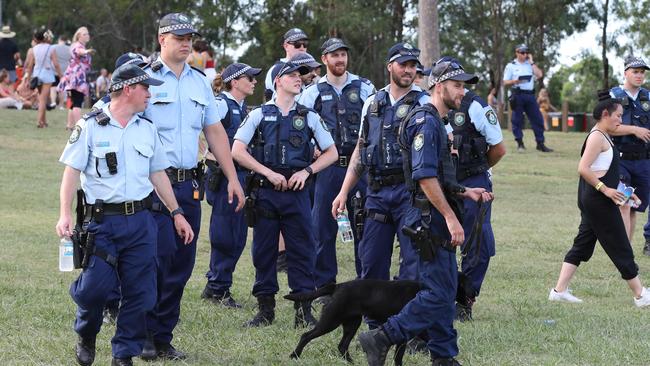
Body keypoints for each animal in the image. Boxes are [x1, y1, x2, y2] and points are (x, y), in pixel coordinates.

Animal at [284, 280, 420, 364]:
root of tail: (337, 286)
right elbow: (398, 357)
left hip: (352, 324)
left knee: (342, 346)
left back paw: (351, 362)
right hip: (330, 321)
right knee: (306, 336)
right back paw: (294, 355)